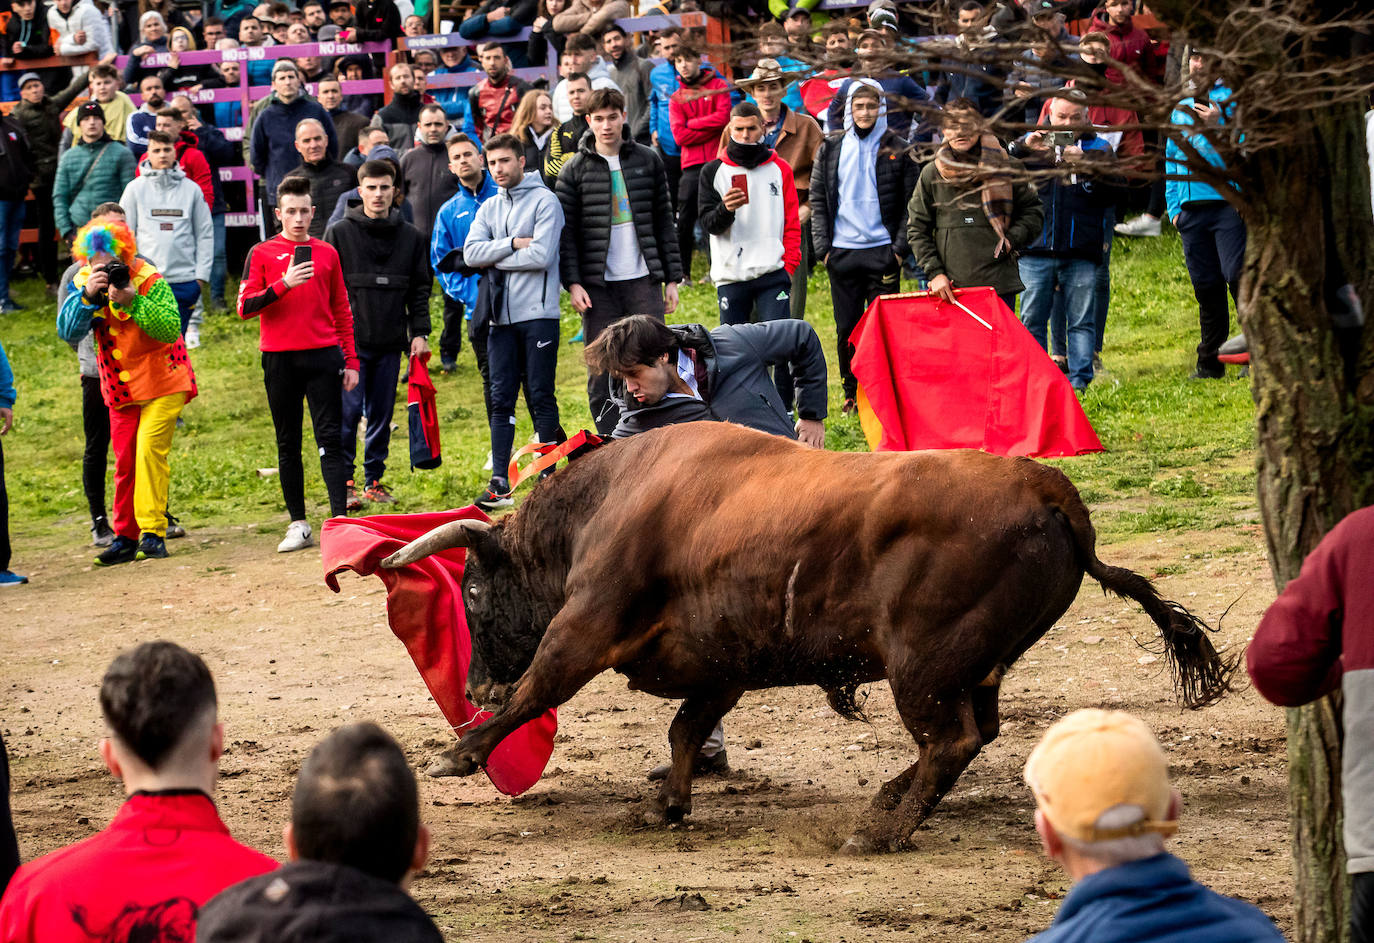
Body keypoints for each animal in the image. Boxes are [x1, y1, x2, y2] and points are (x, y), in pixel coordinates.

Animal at [387, 426, 1236, 852]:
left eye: (471, 592)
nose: (472, 684)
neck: (608, 501)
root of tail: (1055, 495)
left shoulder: (587, 624)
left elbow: (538, 690)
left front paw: (458, 753)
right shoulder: (720, 661)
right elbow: (685, 727)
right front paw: (668, 803)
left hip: (921, 664)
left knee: (954, 738)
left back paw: (882, 830)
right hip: (979, 662)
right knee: (978, 730)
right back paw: (890, 798)